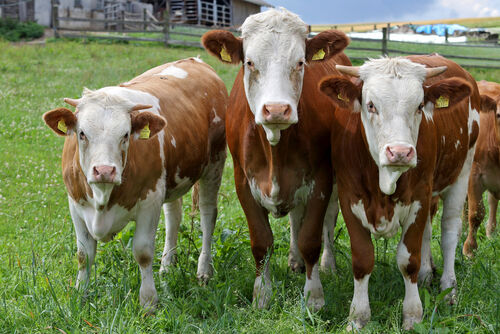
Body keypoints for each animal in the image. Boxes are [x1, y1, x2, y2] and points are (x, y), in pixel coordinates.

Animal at [43, 58, 227, 314]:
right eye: (81, 133)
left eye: (125, 134)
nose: (104, 171)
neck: (103, 198)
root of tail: (194, 60)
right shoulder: (75, 203)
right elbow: (83, 254)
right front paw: (80, 295)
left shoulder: (150, 201)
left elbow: (143, 253)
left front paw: (148, 302)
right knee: (173, 216)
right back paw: (167, 265)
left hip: (215, 164)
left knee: (208, 215)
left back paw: (204, 271)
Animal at [201, 7, 350, 310]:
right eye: (249, 62)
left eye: (300, 62)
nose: (277, 109)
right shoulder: (243, 182)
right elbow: (262, 241)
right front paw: (262, 295)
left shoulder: (321, 179)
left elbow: (311, 238)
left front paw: (314, 297)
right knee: (295, 217)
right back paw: (294, 261)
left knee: (328, 219)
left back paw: (327, 265)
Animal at [320, 54, 480, 328]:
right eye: (371, 105)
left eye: (419, 106)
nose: (400, 152)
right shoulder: (349, 197)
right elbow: (362, 259)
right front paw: (358, 317)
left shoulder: (419, 197)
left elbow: (408, 260)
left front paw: (413, 315)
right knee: (428, 231)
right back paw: (427, 275)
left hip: (462, 172)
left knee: (449, 232)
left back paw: (449, 287)